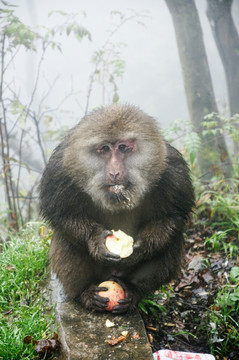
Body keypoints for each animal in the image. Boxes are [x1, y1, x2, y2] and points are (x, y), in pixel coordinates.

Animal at [40, 104, 194, 316]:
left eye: (123, 147)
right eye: (104, 149)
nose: (114, 172)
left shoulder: (173, 169)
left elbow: (172, 216)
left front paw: (139, 250)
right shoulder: (59, 170)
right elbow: (61, 214)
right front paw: (96, 239)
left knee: (172, 242)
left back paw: (134, 292)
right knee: (66, 241)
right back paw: (85, 294)